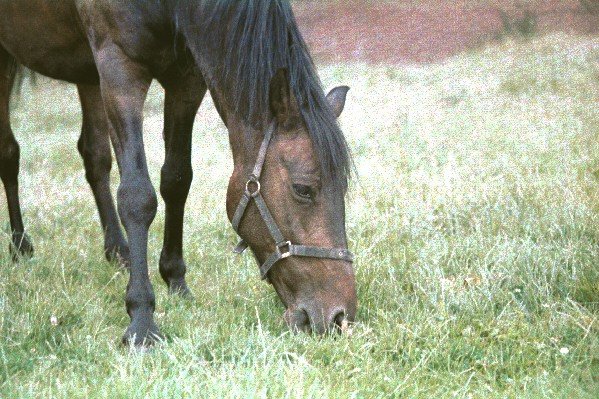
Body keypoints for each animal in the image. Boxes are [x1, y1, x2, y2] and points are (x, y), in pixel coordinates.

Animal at [0, 0, 356, 346]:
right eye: (303, 189)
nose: (340, 317)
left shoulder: (186, 78)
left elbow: (176, 180)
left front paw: (175, 281)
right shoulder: (119, 69)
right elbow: (137, 196)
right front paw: (142, 319)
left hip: (88, 76)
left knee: (94, 156)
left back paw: (118, 251)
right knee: (9, 153)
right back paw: (20, 246)